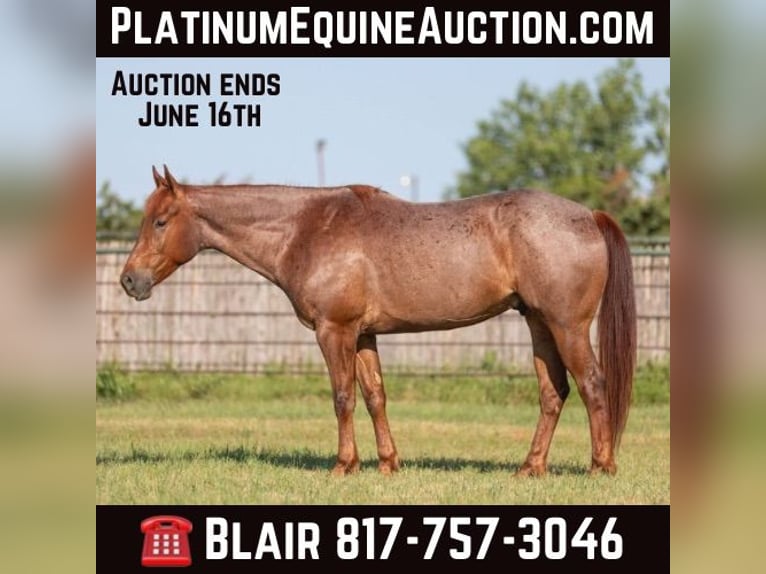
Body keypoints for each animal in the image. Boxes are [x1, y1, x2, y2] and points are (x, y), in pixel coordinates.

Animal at [120, 165, 636, 476]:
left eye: (161, 221)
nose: (130, 280)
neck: (306, 228)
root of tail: (588, 215)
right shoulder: (364, 334)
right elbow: (374, 397)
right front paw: (388, 464)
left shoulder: (335, 331)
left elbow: (343, 398)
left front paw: (343, 465)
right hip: (538, 324)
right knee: (554, 392)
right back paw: (530, 468)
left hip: (566, 326)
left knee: (592, 384)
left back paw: (600, 466)